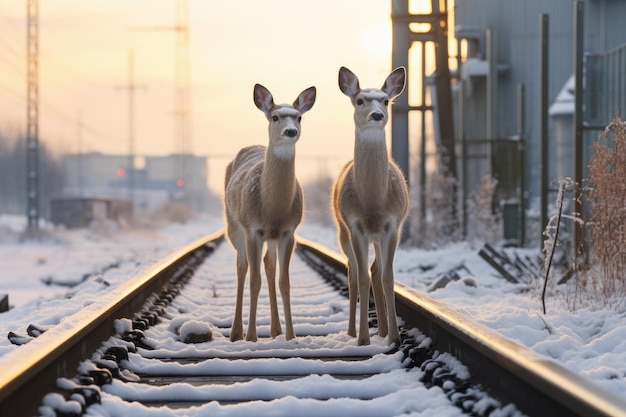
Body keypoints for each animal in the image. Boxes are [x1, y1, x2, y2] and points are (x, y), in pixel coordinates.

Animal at [222, 82, 314, 342]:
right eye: (275, 116)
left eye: (299, 117)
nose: (291, 131)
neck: (272, 208)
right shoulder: (253, 230)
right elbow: (254, 281)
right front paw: (251, 337)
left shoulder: (288, 232)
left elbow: (285, 282)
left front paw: (291, 336)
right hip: (234, 226)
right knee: (242, 267)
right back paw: (236, 332)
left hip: (270, 238)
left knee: (268, 266)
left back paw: (276, 329)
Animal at [330, 66, 408, 344]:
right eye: (360, 100)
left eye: (386, 100)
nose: (377, 115)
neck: (374, 203)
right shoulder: (356, 226)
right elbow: (362, 278)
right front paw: (363, 337)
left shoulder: (393, 226)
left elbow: (388, 277)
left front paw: (394, 336)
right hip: (342, 232)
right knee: (353, 274)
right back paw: (352, 331)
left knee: (375, 270)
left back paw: (383, 330)